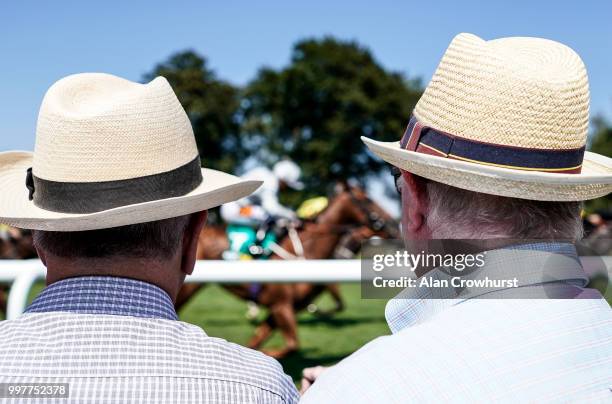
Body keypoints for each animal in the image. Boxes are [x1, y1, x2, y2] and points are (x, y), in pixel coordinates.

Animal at [175, 185, 400, 358]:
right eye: (367, 199)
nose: (394, 224)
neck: (304, 251)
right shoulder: (281, 306)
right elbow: (292, 345)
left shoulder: (279, 310)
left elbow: (258, 340)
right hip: (187, 289)